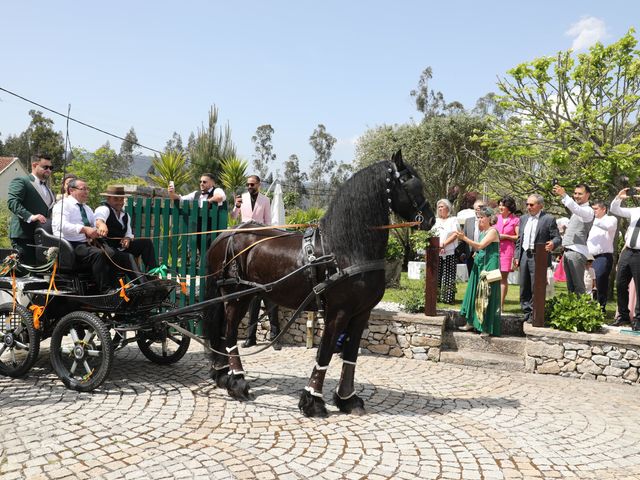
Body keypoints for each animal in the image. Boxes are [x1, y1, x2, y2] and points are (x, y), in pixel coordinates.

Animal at [205, 151, 436, 416]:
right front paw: (312, 400)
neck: (345, 249)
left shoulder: (361, 313)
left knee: (222, 332)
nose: (431, 219)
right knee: (230, 333)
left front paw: (348, 399)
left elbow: (350, 356)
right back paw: (237, 382)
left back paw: (223, 374)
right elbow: (324, 353)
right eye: (409, 182)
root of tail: (225, 235)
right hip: (237, 296)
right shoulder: (338, 312)